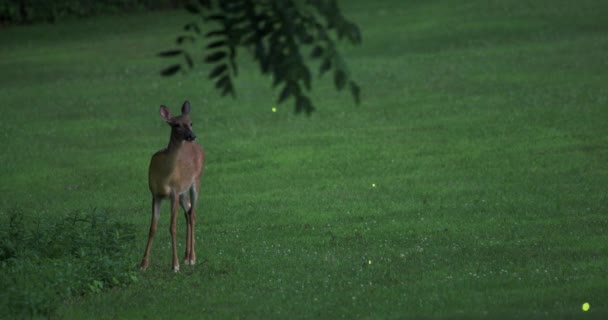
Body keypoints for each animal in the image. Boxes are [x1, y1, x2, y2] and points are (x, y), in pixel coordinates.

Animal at [140, 100, 204, 272]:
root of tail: (198, 146)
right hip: (183, 192)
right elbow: (152, 228)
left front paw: (175, 265)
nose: (192, 135)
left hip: (196, 181)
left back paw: (192, 258)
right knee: (188, 211)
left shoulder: (174, 192)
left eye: (191, 122)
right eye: (176, 125)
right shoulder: (155, 194)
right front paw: (143, 264)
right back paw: (186, 256)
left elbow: (172, 227)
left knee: (193, 214)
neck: (165, 175)